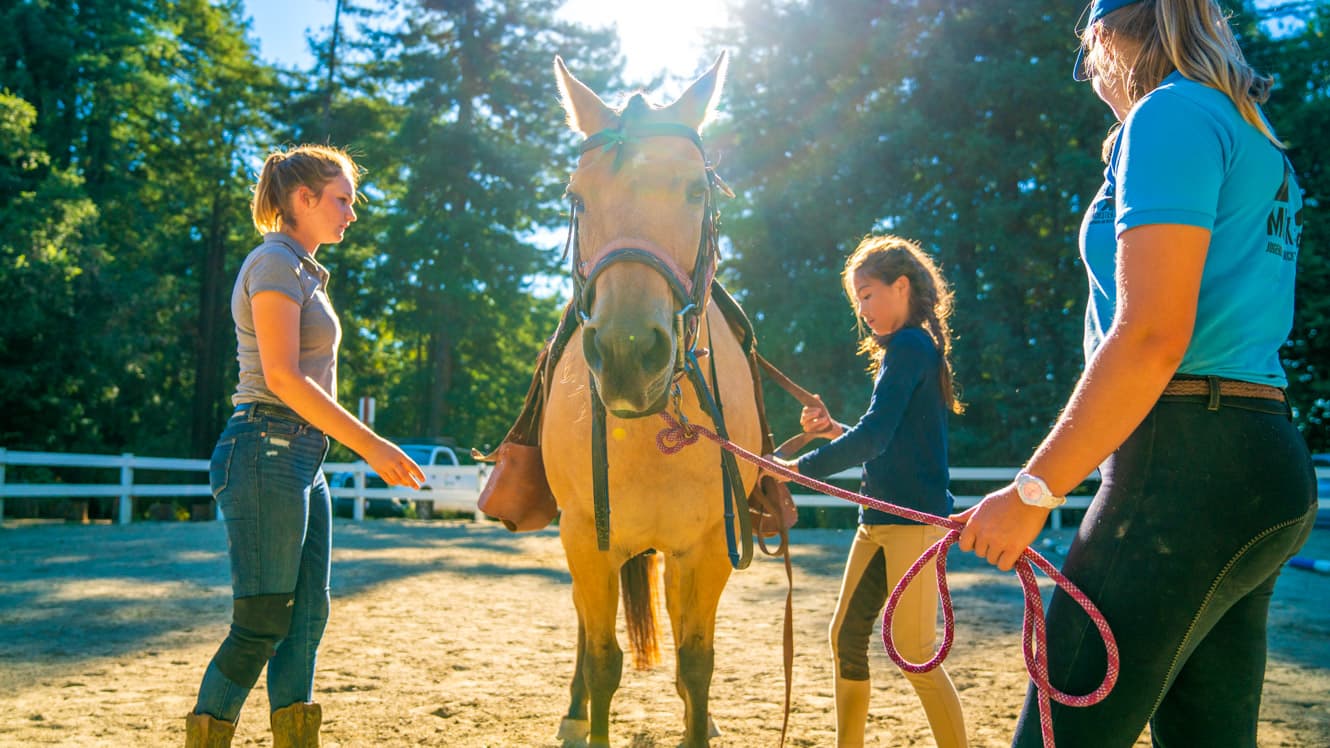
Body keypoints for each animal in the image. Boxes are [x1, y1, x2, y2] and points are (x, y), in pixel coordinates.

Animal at [539, 53, 766, 745]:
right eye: (576, 197)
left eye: (696, 191)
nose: (627, 351)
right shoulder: (587, 541)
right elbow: (603, 660)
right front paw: (587, 712)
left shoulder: (711, 546)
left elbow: (696, 662)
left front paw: (700, 714)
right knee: (583, 631)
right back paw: (572, 709)